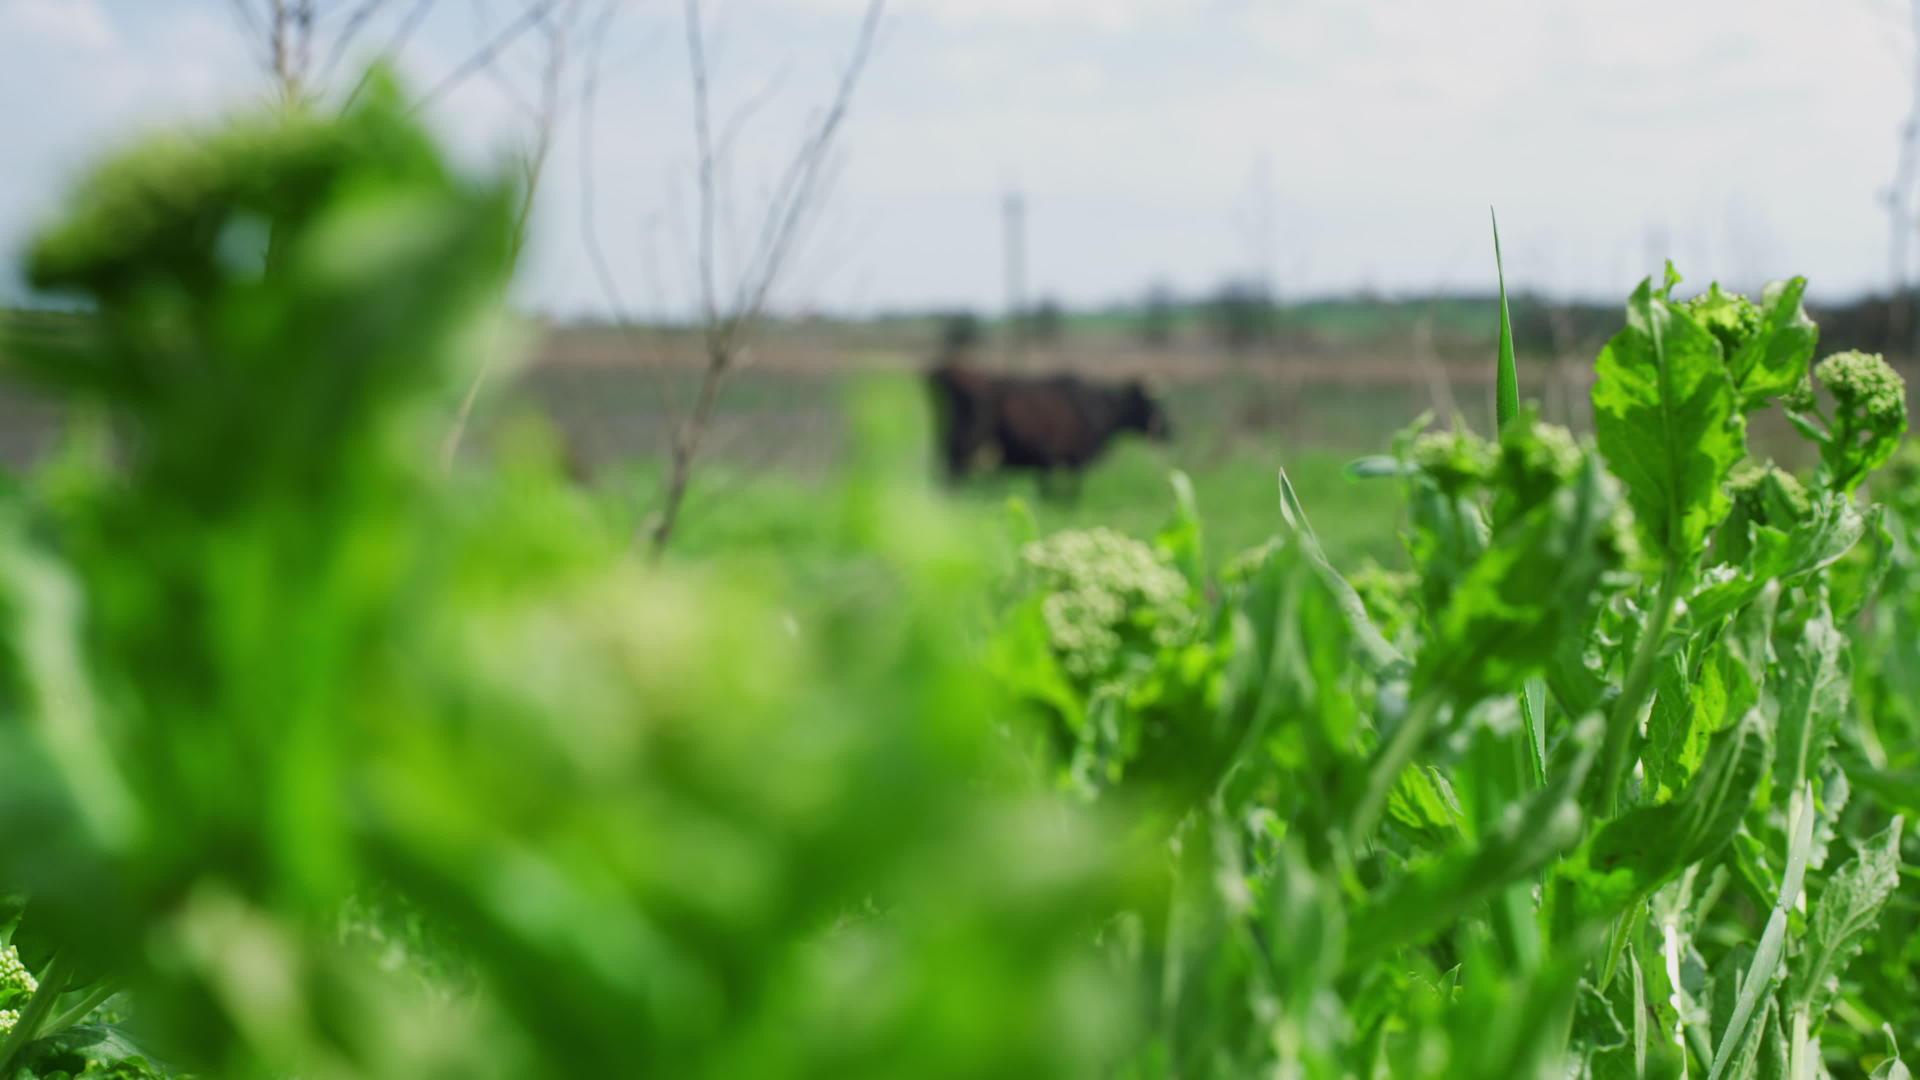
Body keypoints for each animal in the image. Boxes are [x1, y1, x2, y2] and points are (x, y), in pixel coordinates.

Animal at [929, 363, 1167, 495]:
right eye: (1151, 406)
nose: (1169, 430)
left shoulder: (1048, 462)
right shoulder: (1063, 460)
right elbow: (1064, 495)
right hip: (965, 446)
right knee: (952, 475)